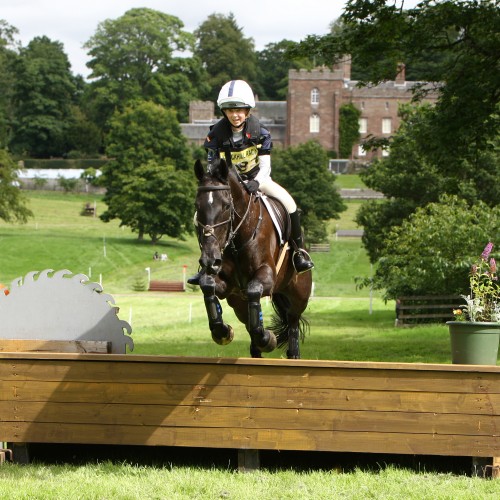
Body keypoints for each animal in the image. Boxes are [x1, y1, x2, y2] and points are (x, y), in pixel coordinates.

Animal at [193, 158, 310, 358]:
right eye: (197, 206)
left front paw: (267, 339)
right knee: (249, 322)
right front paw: (222, 332)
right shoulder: (227, 285)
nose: (210, 260)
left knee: (292, 322)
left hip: (299, 295)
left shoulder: (267, 275)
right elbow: (207, 285)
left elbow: (254, 289)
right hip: (238, 303)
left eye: (226, 205)